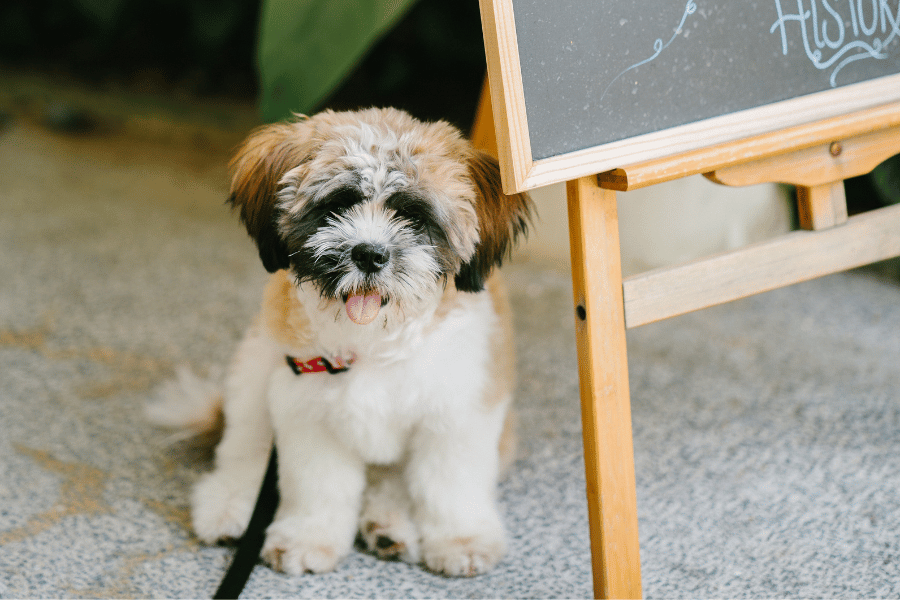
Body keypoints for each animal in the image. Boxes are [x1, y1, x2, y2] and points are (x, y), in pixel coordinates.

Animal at [171, 108, 536, 576]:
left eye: (413, 217)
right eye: (337, 205)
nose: (369, 253)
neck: (374, 343)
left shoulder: (458, 412)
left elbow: (449, 486)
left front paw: (461, 540)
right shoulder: (308, 413)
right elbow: (319, 486)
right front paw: (308, 538)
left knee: (392, 481)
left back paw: (389, 527)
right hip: (254, 367)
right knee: (245, 446)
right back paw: (230, 504)